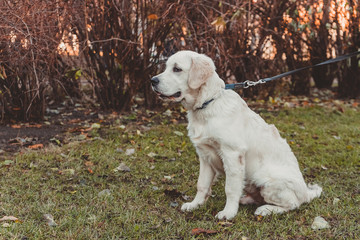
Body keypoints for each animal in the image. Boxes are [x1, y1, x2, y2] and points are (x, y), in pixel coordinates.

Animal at [150, 50, 322, 219]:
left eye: (177, 69)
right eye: (166, 67)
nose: (152, 80)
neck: (207, 104)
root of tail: (306, 193)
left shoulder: (232, 154)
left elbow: (230, 188)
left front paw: (228, 213)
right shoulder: (205, 155)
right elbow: (202, 185)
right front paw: (195, 204)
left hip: (265, 177)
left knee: (293, 204)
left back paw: (266, 209)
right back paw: (246, 200)